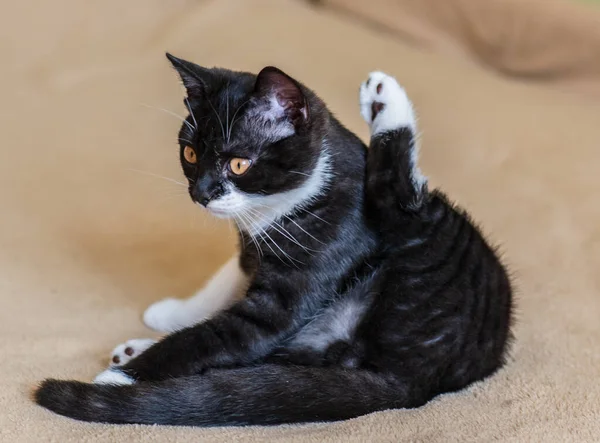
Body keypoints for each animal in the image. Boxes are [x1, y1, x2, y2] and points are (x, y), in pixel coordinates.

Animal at [32, 55, 512, 426]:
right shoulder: (250, 247)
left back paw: (384, 99)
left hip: (431, 248)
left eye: (239, 164)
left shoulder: (303, 275)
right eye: (190, 154)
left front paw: (124, 380)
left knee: (401, 200)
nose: (200, 193)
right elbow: (225, 283)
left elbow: (224, 335)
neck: (276, 210)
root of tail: (415, 380)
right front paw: (172, 314)